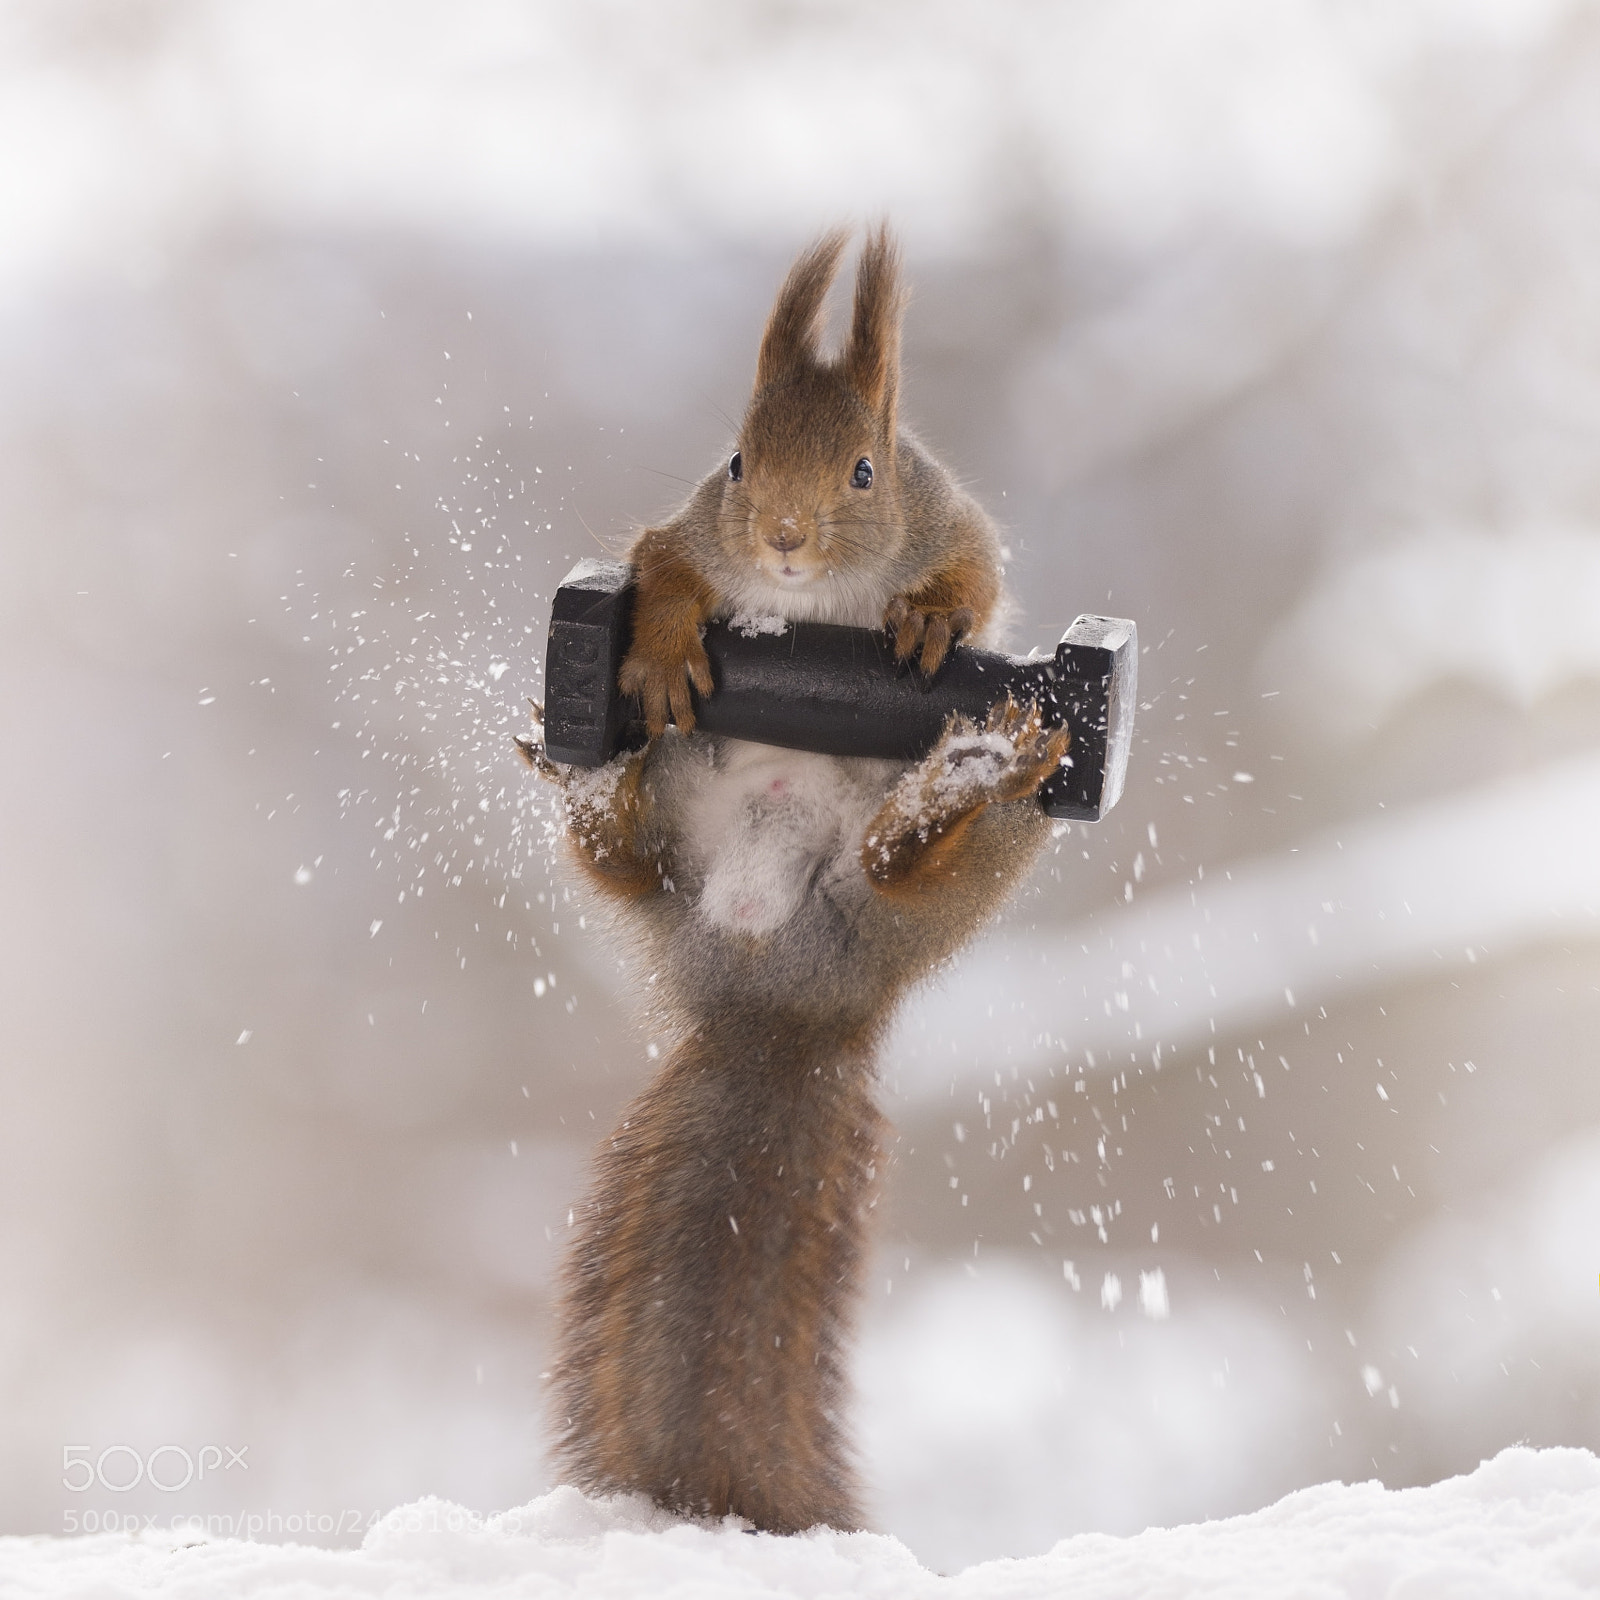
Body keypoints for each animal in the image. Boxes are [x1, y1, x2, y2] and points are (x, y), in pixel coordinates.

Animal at [520, 226, 1069, 1534]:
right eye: (735, 459)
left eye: (866, 471)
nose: (777, 534)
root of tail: (787, 999)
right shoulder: (683, 528)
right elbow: (662, 565)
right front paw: (670, 639)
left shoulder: (951, 521)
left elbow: (971, 575)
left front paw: (926, 617)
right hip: (669, 844)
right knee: (625, 865)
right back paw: (599, 794)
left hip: (979, 858)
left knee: (901, 865)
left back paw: (949, 791)